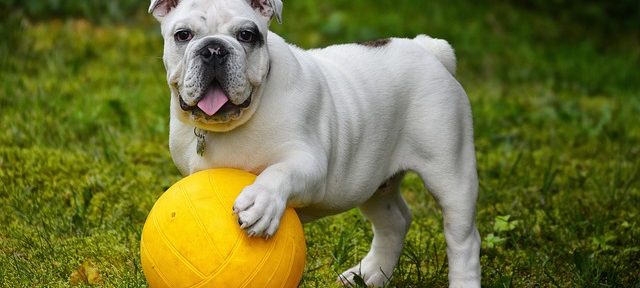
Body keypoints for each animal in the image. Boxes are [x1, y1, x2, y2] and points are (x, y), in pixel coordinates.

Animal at [149, 0, 480, 286]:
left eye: (246, 35)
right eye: (183, 35)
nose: (214, 49)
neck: (233, 123)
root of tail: (427, 48)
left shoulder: (309, 165)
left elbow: (279, 172)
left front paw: (261, 202)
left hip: (450, 172)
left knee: (463, 239)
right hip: (371, 180)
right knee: (394, 221)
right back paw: (369, 274)